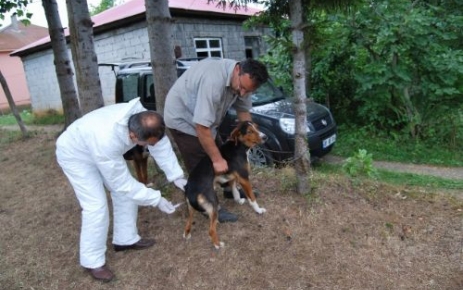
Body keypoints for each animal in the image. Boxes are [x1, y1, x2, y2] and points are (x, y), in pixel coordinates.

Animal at [183, 120, 266, 249]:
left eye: (257, 127)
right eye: (249, 131)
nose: (265, 137)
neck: (239, 146)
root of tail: (189, 189)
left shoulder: (233, 176)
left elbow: (234, 189)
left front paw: (238, 200)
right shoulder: (244, 178)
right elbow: (252, 198)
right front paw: (258, 210)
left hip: (190, 208)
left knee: (188, 223)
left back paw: (187, 234)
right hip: (213, 202)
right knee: (211, 230)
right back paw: (218, 245)